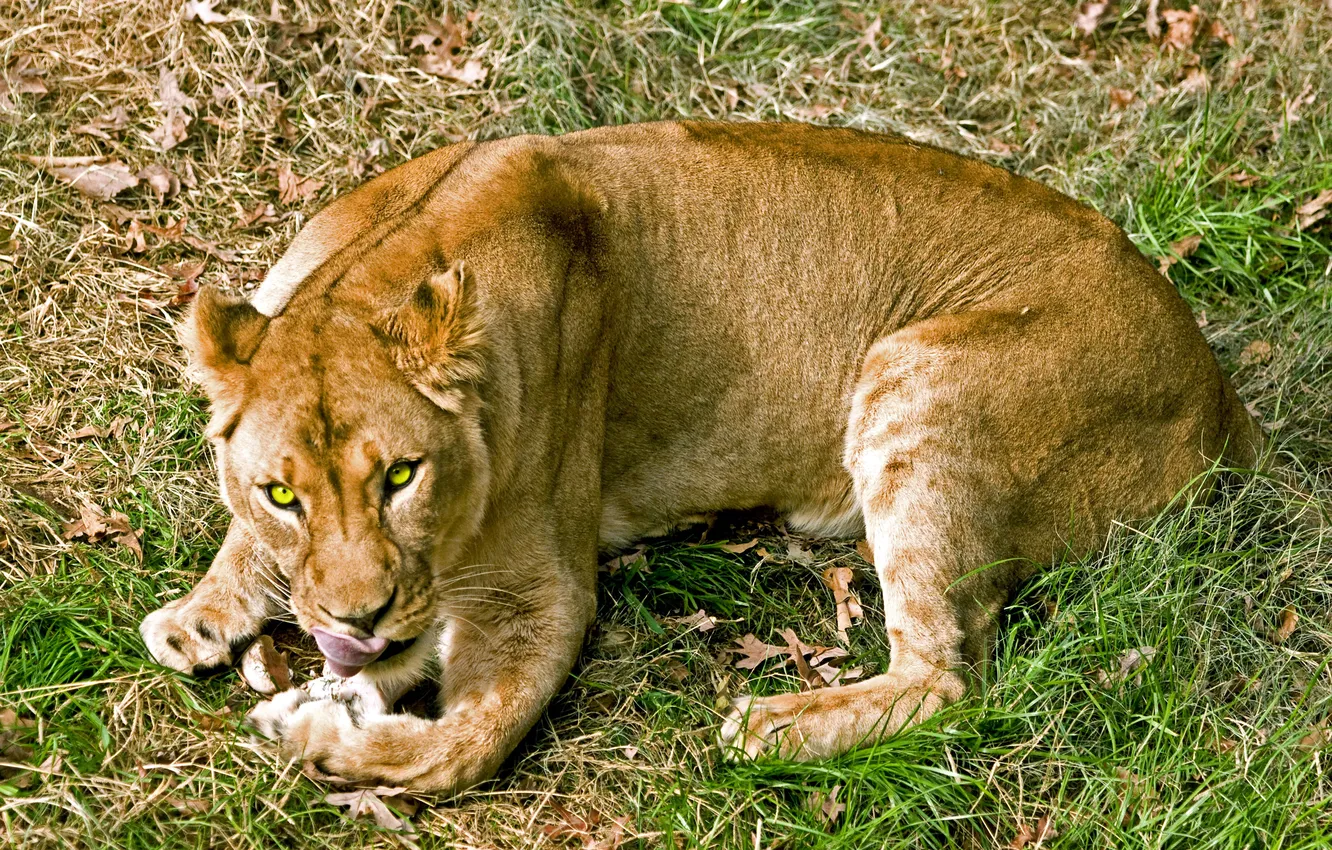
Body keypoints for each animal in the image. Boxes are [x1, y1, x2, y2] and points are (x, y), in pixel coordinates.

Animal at [139, 120, 1263, 791]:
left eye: (401, 477)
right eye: (281, 492)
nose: (356, 617)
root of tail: (1217, 383)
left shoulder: (545, 591)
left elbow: (468, 743)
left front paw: (324, 732)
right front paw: (208, 614)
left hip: (920, 375)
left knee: (947, 681)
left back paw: (772, 729)